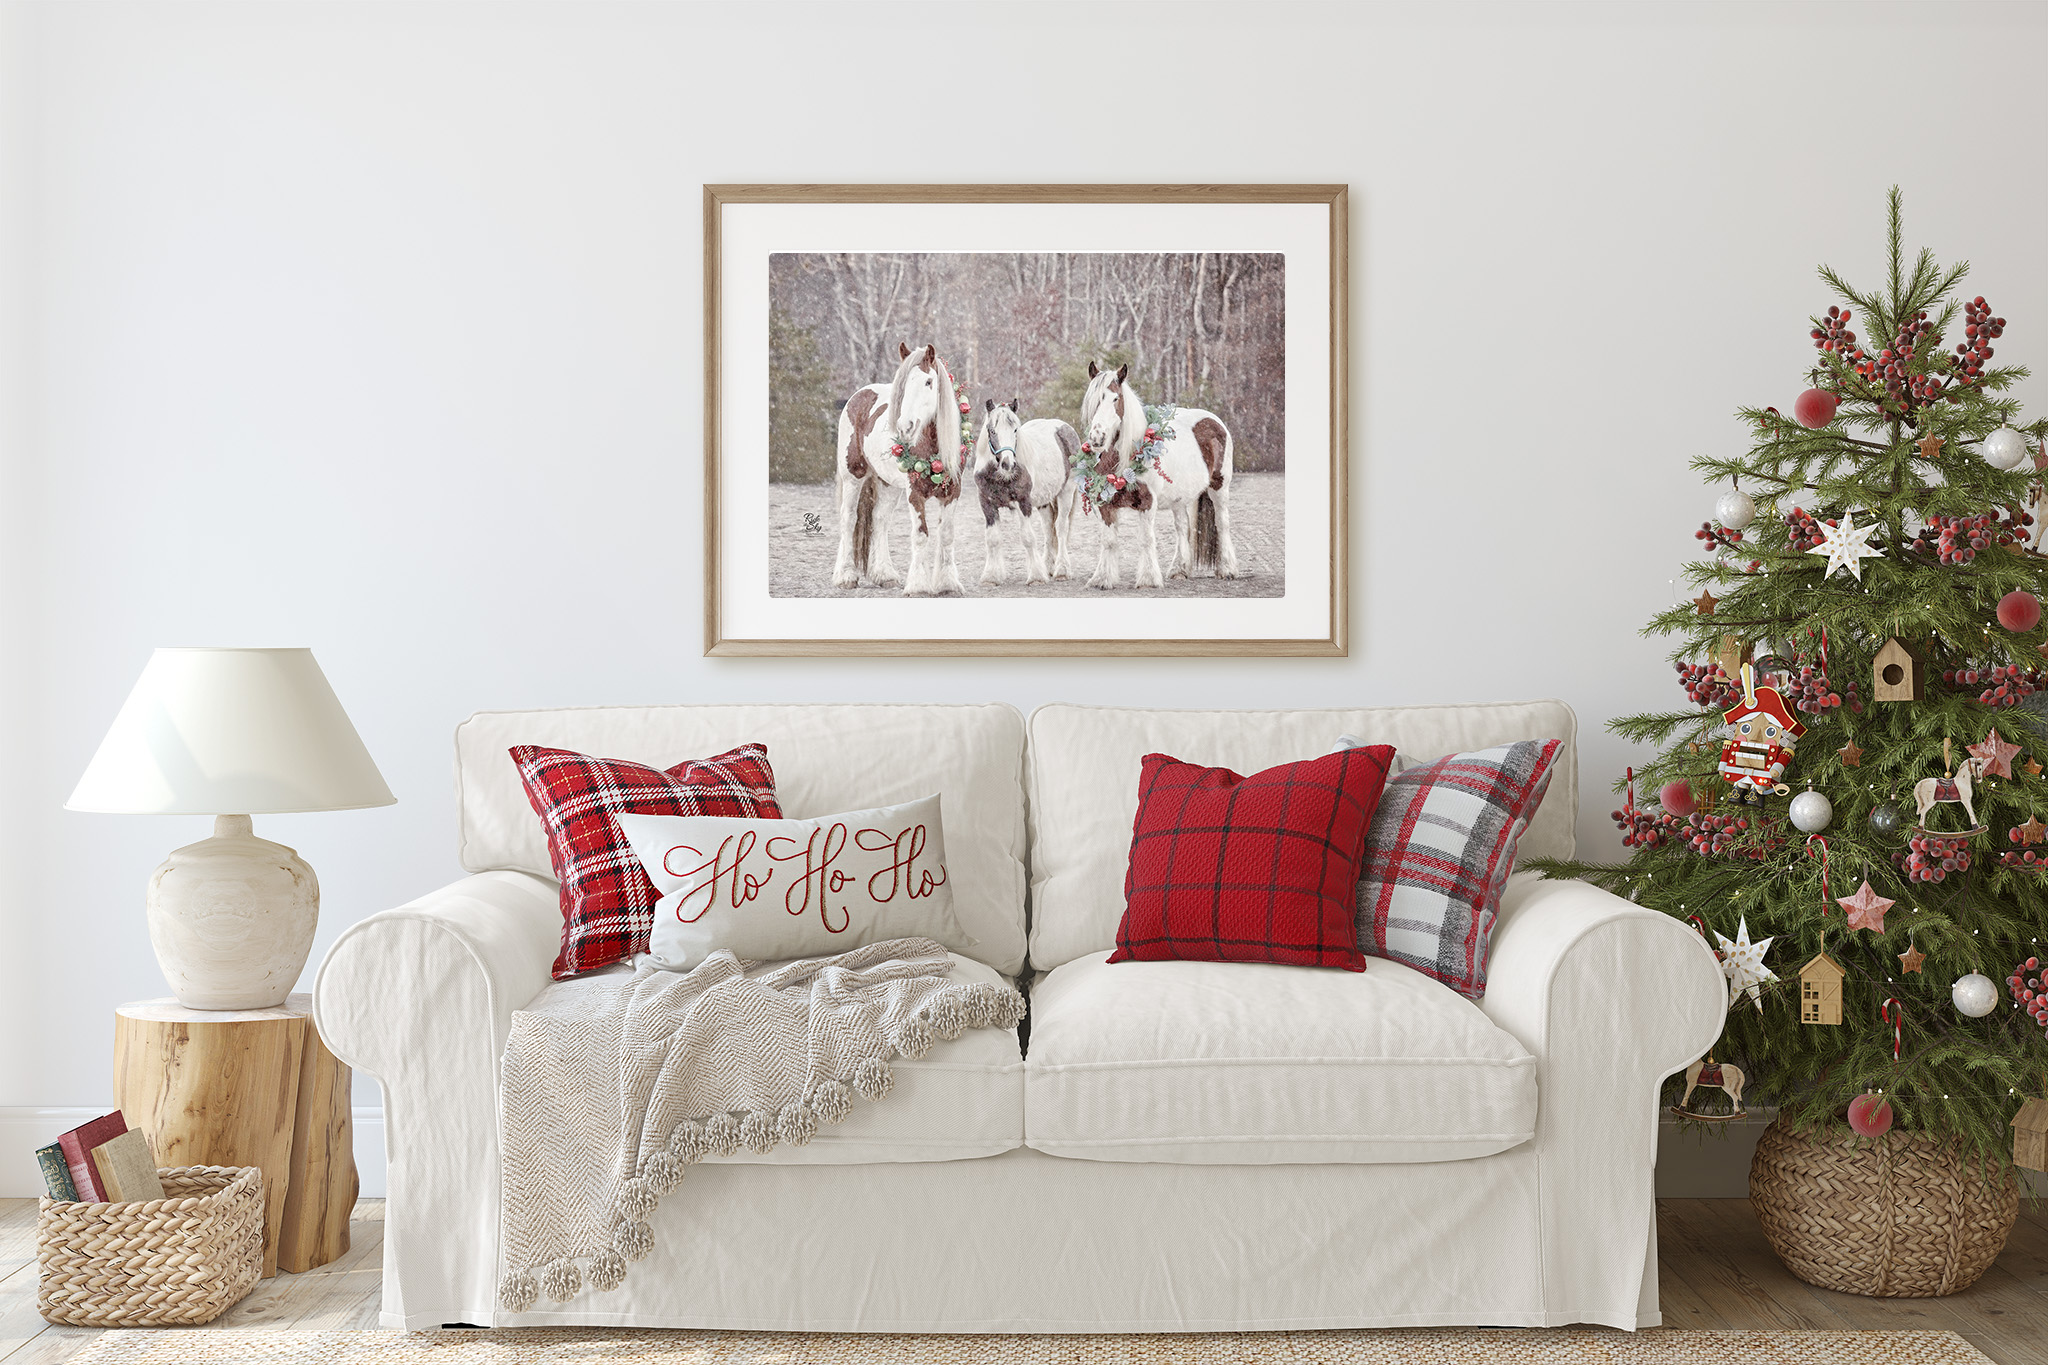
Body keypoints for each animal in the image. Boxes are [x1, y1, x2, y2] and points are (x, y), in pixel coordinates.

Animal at [823, 339, 966, 593]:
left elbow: (947, 534)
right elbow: (920, 535)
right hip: (853, 476)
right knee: (848, 518)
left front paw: (948, 583)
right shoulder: (914, 493)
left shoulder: (953, 491)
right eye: (904, 384)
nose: (904, 426)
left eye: (928, 382)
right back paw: (845, 575)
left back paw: (884, 574)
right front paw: (918, 586)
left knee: (880, 520)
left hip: (888, 484)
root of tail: (859, 395)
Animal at [966, 397, 1081, 585]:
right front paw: (991, 576)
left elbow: (1028, 537)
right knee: (1048, 526)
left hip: (1066, 491)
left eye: (1015, 430)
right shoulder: (986, 504)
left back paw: (1062, 571)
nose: (1007, 464)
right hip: (1044, 500)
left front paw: (1036, 576)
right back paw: (1047, 566)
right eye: (992, 430)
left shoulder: (1023, 502)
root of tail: (1064, 428)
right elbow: (992, 539)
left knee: (1061, 527)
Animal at [1081, 360, 1236, 589]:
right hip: (1180, 498)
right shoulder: (1105, 503)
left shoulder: (1147, 502)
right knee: (1182, 527)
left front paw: (1148, 579)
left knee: (1222, 524)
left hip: (1219, 488)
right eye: (1092, 399)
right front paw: (1102, 579)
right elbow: (1108, 541)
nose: (1097, 438)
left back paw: (1227, 569)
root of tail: (1215, 420)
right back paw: (1180, 570)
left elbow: (1146, 539)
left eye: (1115, 398)